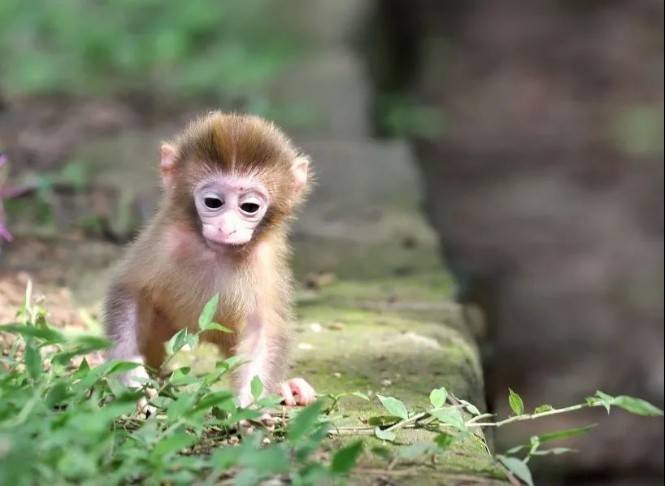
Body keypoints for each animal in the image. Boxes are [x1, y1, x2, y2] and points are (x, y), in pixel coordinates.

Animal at [104, 111, 316, 406]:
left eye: (249, 207)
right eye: (213, 202)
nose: (226, 228)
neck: (217, 251)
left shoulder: (264, 261)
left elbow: (262, 330)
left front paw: (247, 405)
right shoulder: (166, 241)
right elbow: (131, 291)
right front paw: (129, 375)